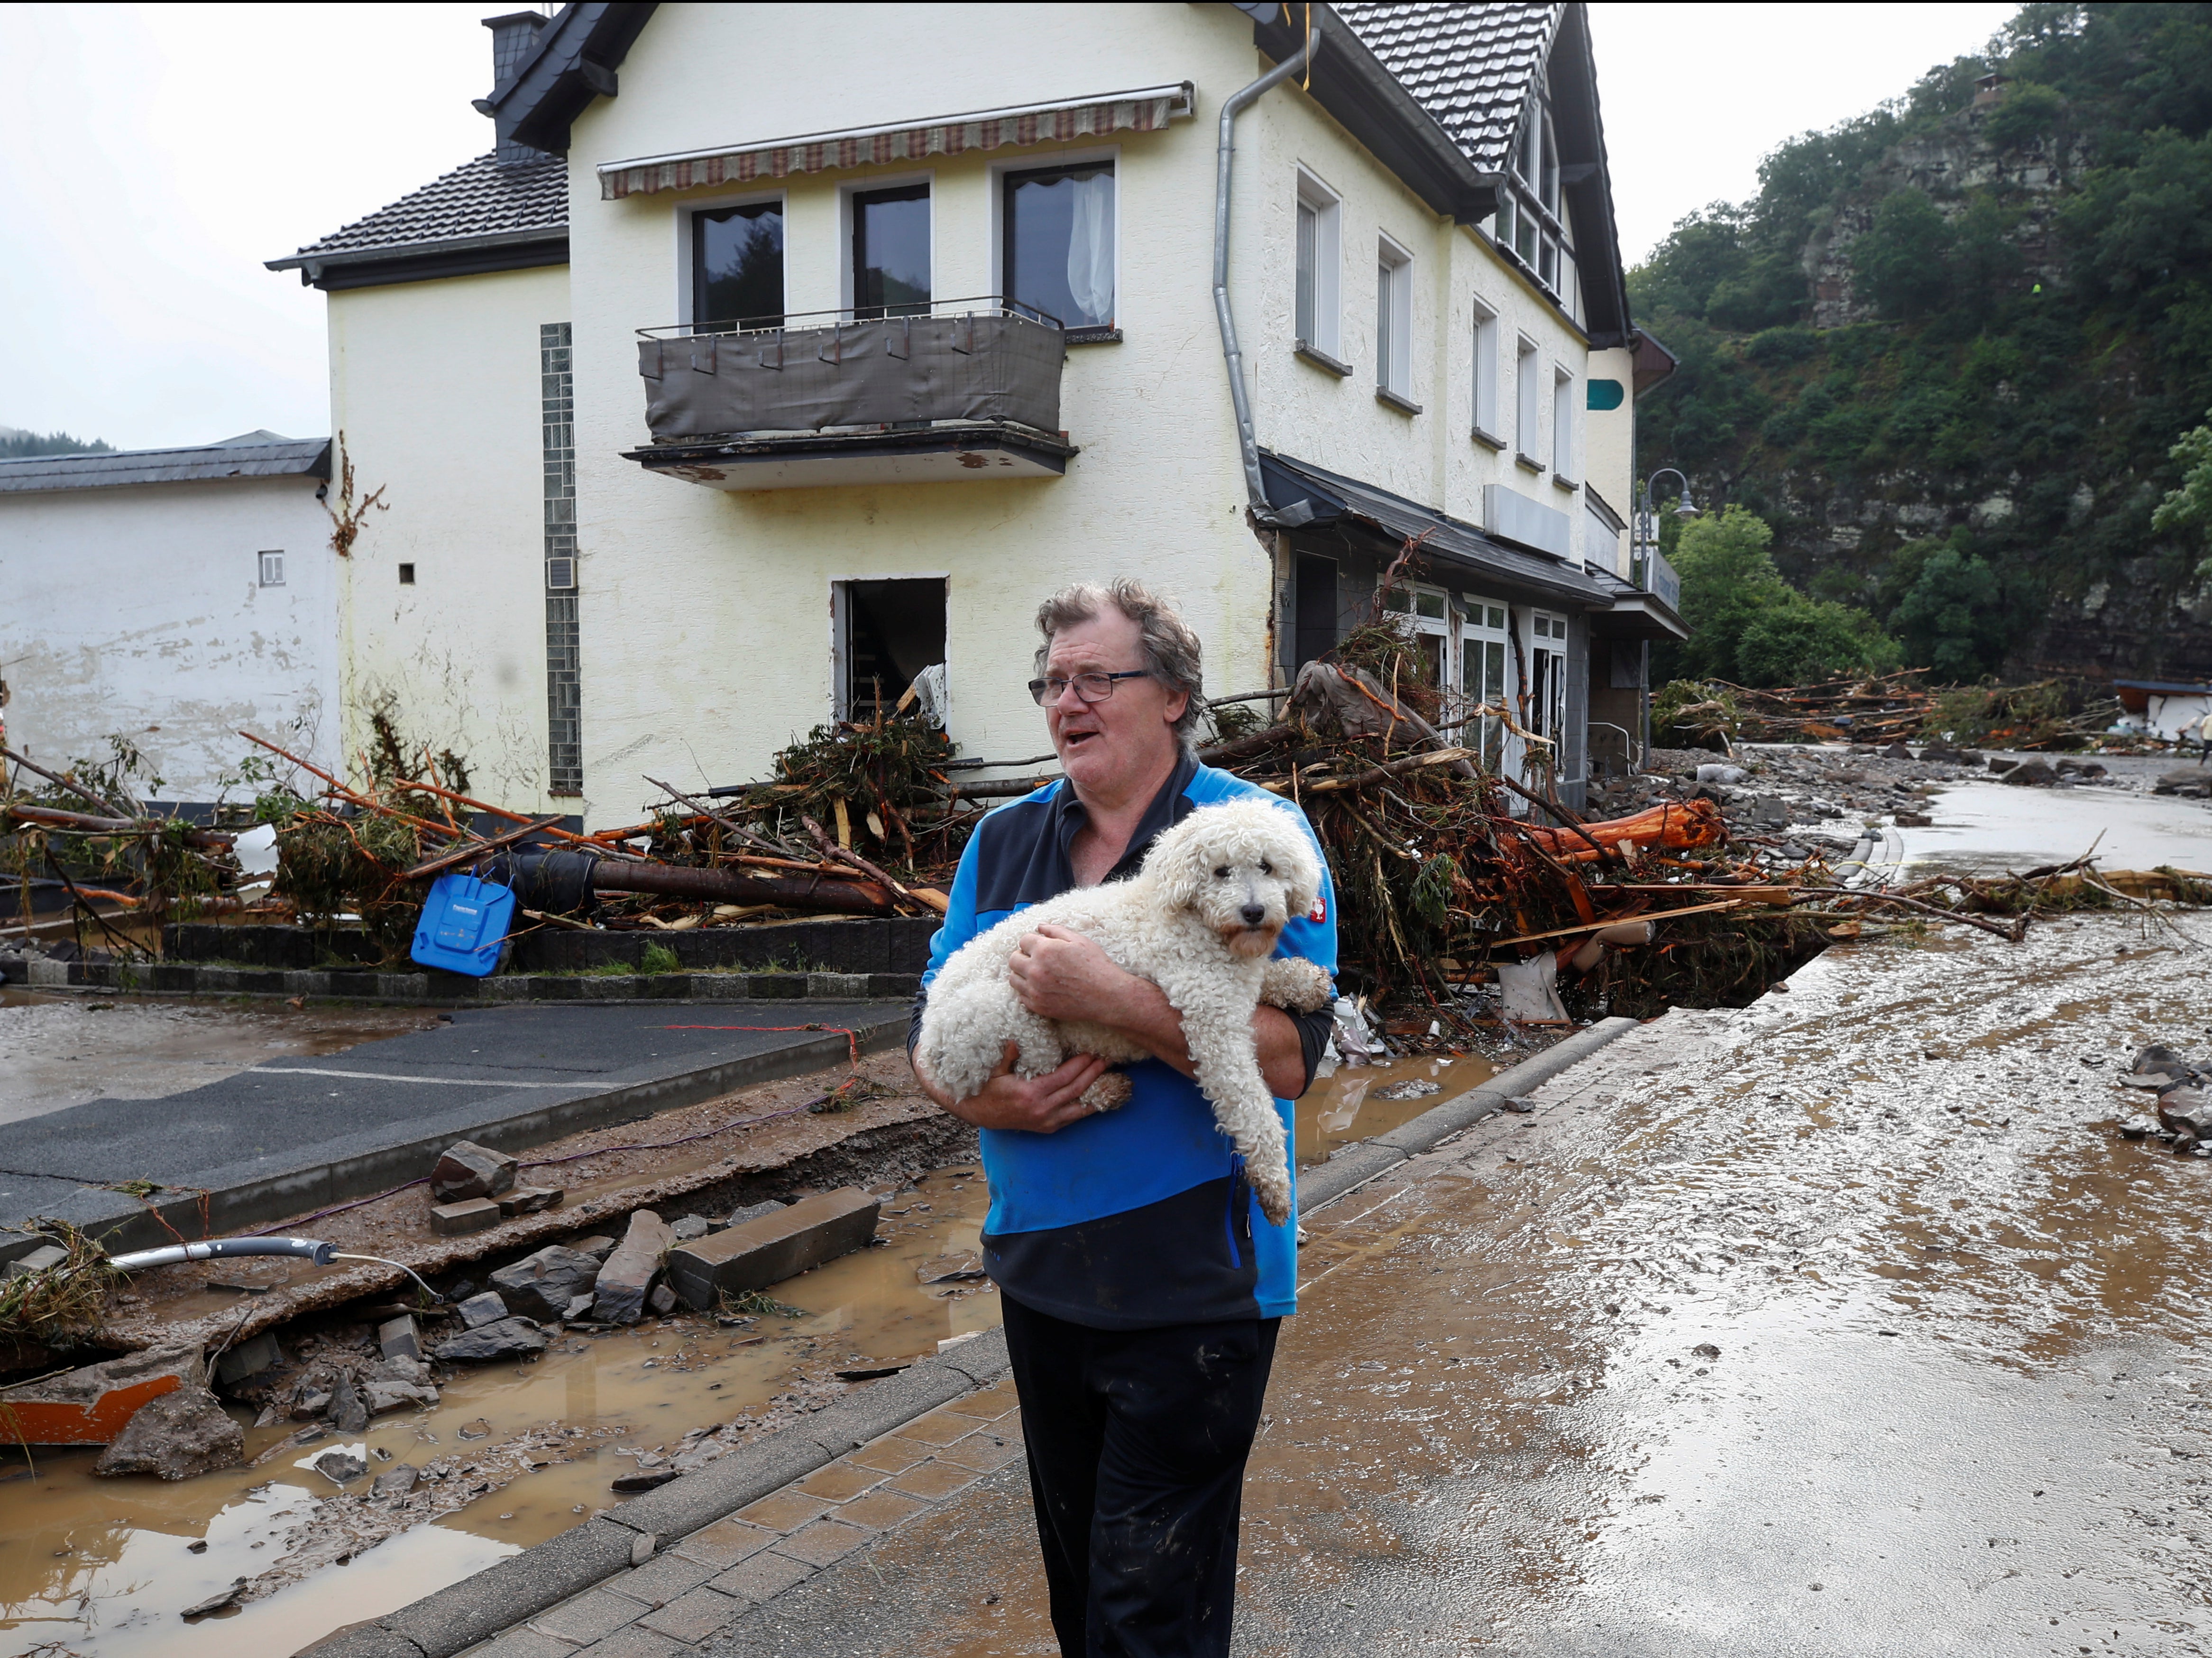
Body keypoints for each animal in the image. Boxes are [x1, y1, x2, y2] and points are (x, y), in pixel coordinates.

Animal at [916, 797, 1327, 1222]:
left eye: (1266, 866)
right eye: (1220, 871)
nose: (1254, 912)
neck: (1198, 921)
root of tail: (931, 1049)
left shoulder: (1235, 981)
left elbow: (1268, 977)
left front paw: (1304, 982)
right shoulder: (1212, 1022)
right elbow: (1250, 1105)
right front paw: (1274, 1184)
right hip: (1003, 1012)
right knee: (1037, 1079)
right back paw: (1101, 1089)